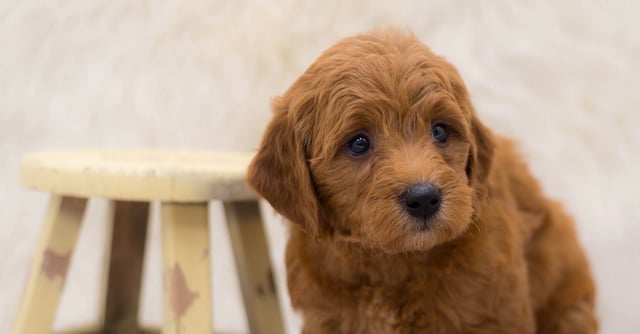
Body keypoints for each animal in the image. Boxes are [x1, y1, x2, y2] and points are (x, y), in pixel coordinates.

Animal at [248, 29, 596, 334]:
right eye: (358, 143)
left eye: (440, 131)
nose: (424, 198)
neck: (391, 262)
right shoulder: (328, 318)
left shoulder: (496, 313)